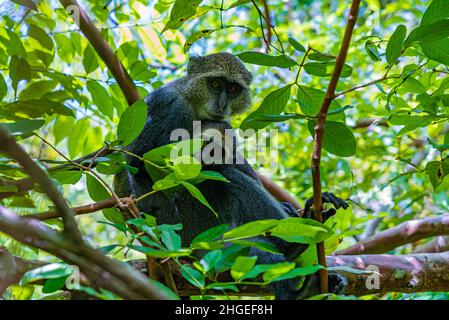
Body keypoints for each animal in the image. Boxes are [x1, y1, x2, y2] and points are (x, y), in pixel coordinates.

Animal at [114, 52, 348, 300]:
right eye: (216, 84)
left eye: (234, 89)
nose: (222, 104)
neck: (192, 100)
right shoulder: (168, 105)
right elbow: (139, 162)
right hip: (185, 226)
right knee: (221, 174)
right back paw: (295, 249)